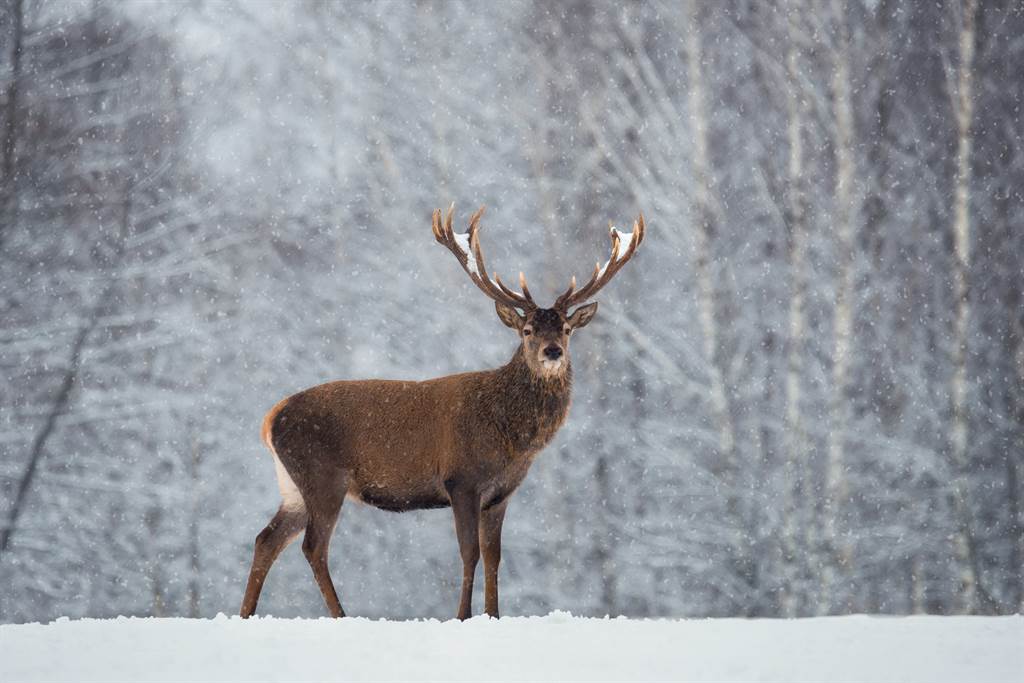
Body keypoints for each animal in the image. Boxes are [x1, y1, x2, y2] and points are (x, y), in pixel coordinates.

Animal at [239, 202, 643, 618]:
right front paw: (462, 616)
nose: (552, 351)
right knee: (313, 546)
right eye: (527, 330)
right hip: (323, 476)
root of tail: (270, 419)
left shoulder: (501, 493)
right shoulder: (461, 479)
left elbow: (494, 557)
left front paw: (493, 615)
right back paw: (340, 615)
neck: (512, 436)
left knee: (267, 539)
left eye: (565, 328)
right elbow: (470, 553)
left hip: (294, 486)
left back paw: (246, 613)